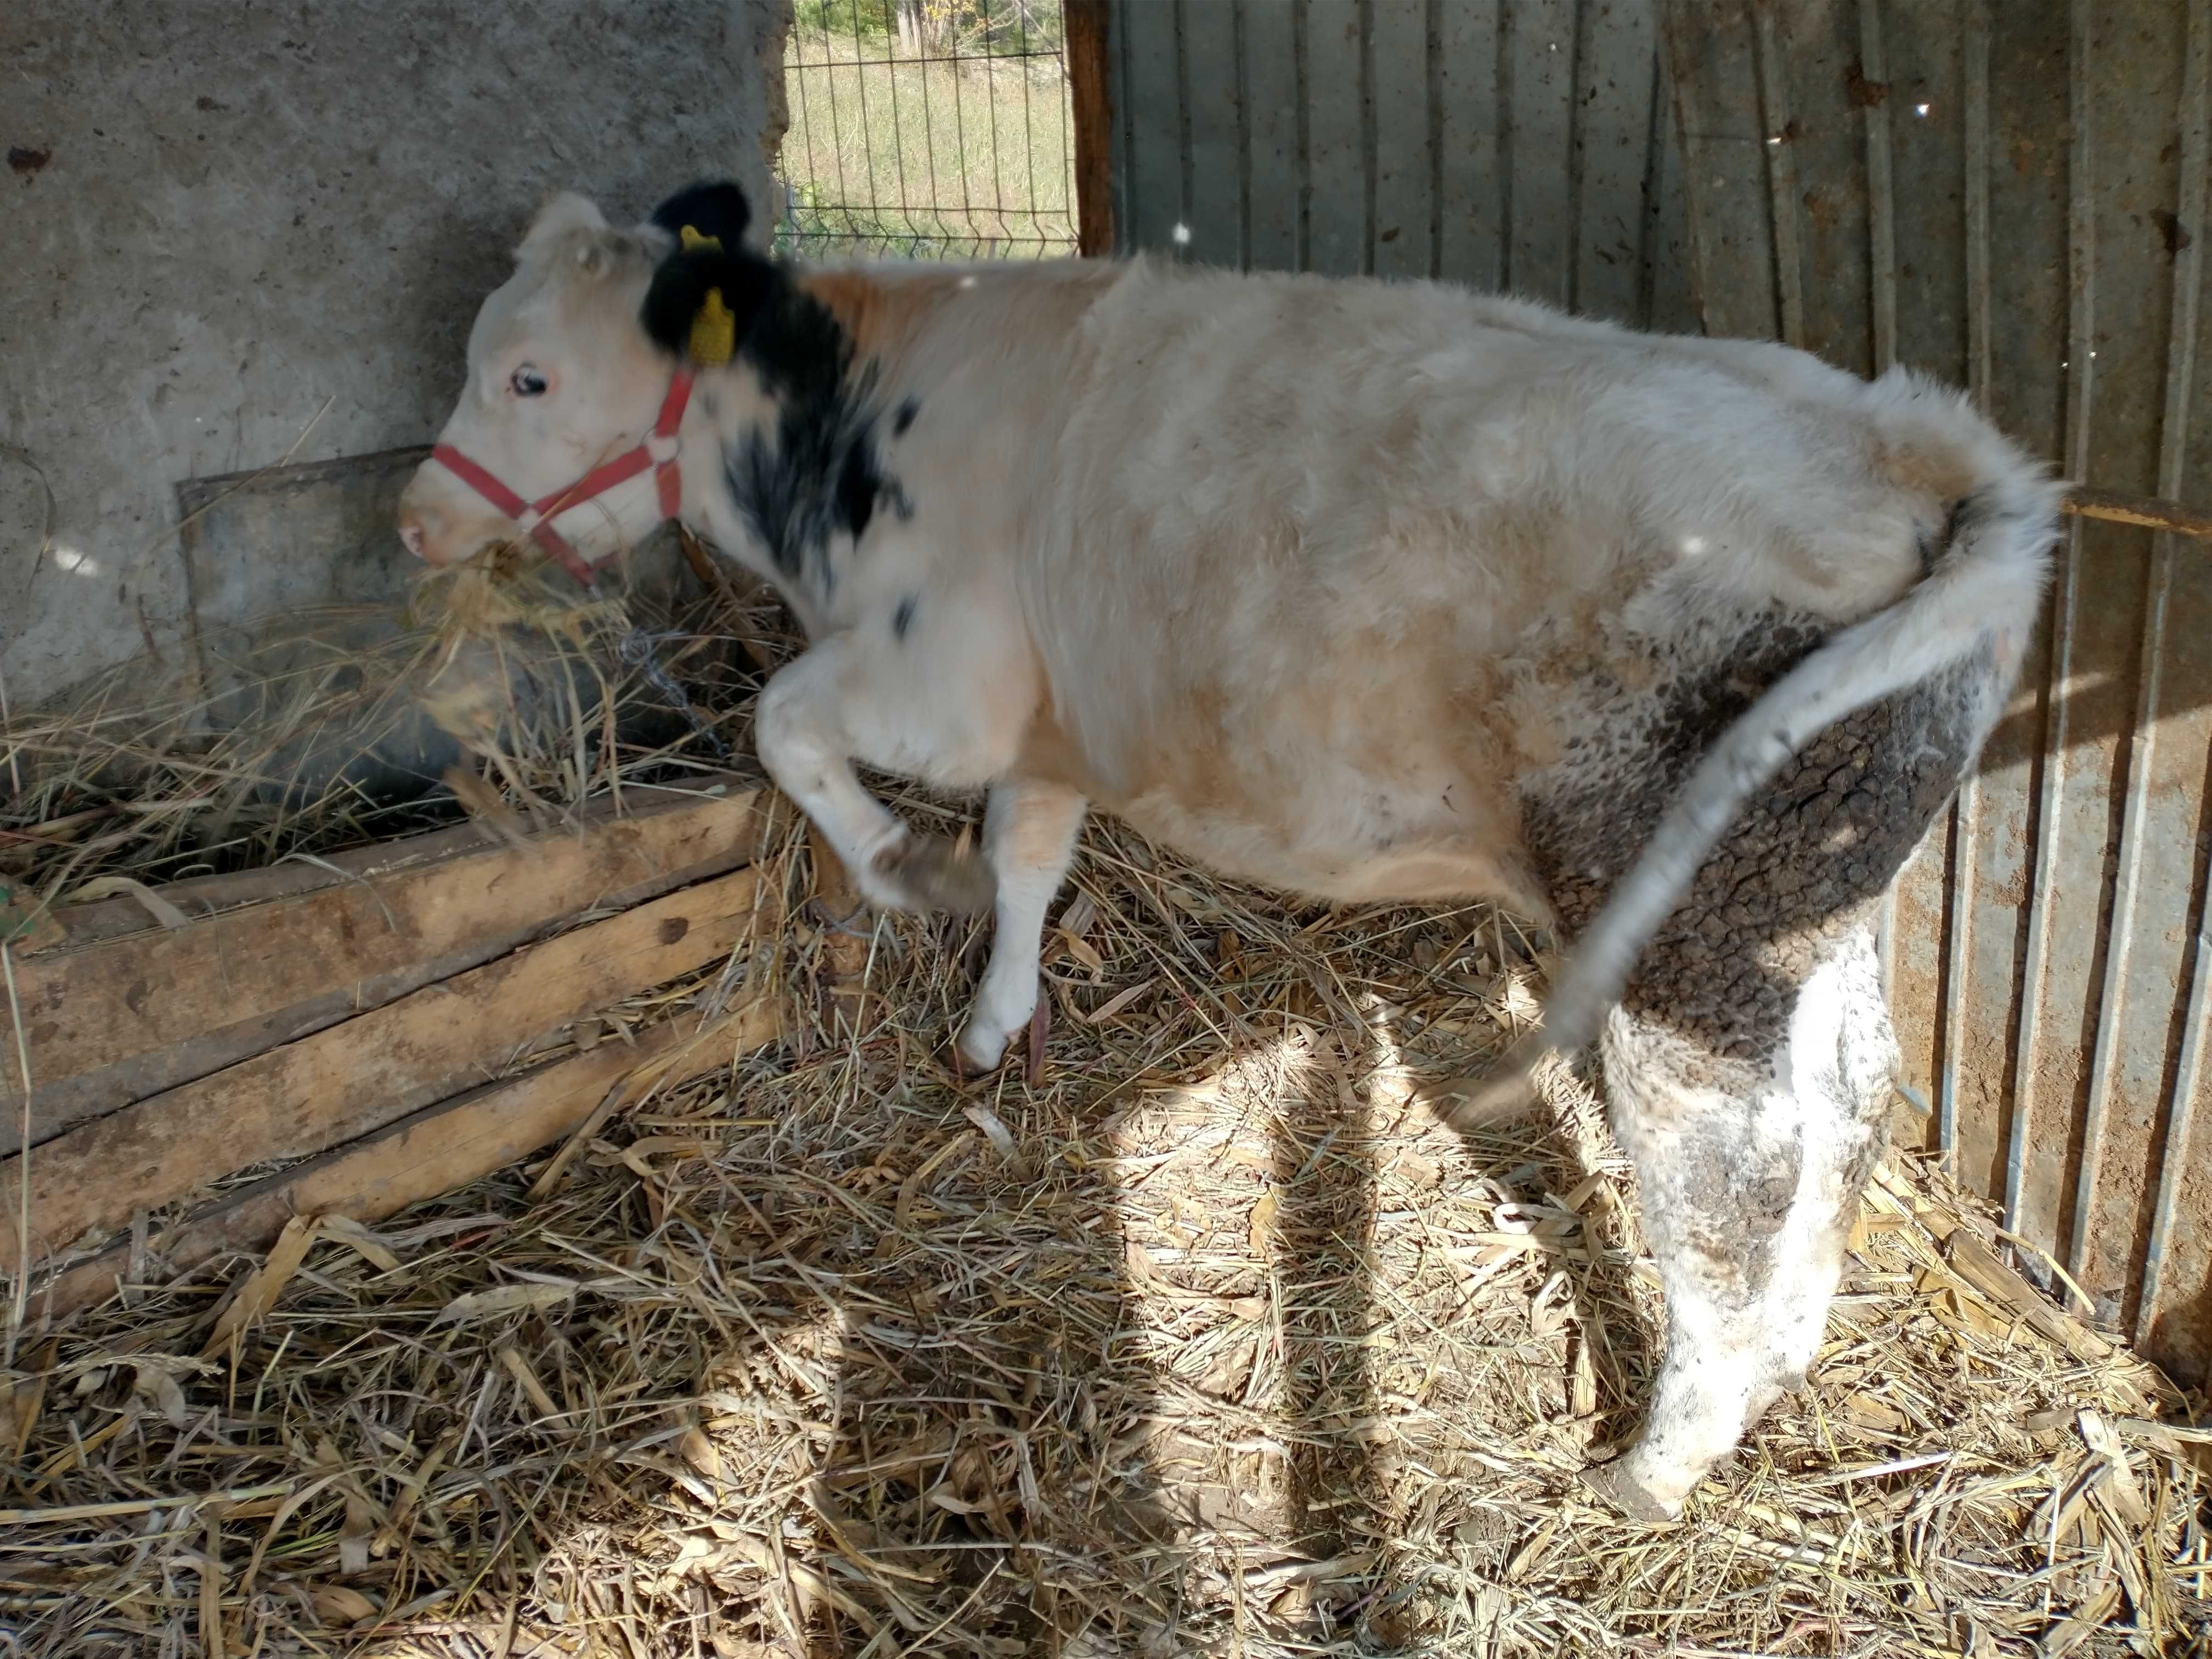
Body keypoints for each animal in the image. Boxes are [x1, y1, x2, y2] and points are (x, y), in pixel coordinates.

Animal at [393, 181, 2052, 1522]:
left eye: (529, 373)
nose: (411, 524)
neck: (856, 434)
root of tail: (1916, 440)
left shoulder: (944, 682)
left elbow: (787, 727)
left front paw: (897, 868)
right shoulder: (1046, 719)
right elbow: (1027, 861)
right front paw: (995, 1016)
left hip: (1684, 937)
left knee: (1729, 1181)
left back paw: (1662, 1460)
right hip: (1812, 907)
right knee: (1850, 1103)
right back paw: (1786, 1360)